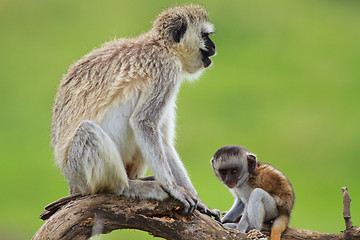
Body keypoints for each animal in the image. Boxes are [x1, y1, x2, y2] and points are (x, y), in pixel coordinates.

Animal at [51, 4, 218, 219]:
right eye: (205, 36)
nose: (214, 47)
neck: (163, 47)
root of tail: (71, 183)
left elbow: (162, 140)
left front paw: (200, 202)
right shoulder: (166, 72)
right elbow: (143, 123)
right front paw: (174, 188)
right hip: (79, 171)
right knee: (88, 131)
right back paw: (127, 187)